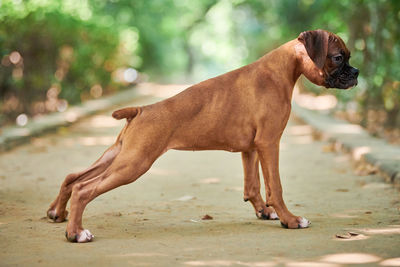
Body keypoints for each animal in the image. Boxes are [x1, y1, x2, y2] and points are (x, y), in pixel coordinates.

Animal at [47, 28, 360, 243]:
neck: (281, 69)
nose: (356, 72)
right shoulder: (269, 143)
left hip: (118, 155)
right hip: (134, 163)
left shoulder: (251, 148)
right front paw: (290, 219)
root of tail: (140, 110)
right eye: (337, 58)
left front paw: (264, 212)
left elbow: (253, 186)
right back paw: (76, 233)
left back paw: (57, 214)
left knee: (73, 177)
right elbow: (275, 187)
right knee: (84, 188)